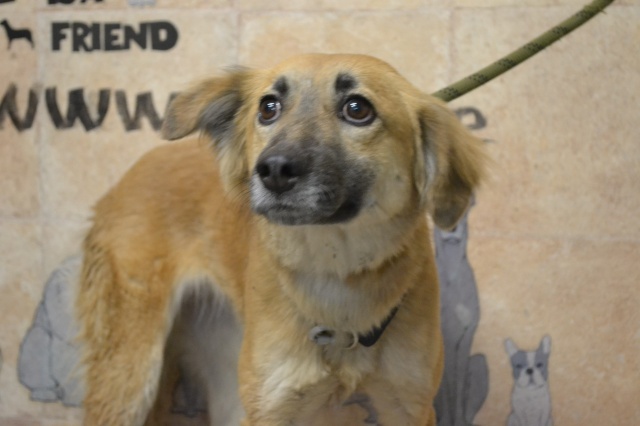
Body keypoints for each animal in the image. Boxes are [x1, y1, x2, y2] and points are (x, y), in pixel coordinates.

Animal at [75, 53, 486, 425]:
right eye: (268, 108)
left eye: (358, 109)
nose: (273, 170)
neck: (336, 273)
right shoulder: (272, 408)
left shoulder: (409, 406)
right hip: (131, 375)